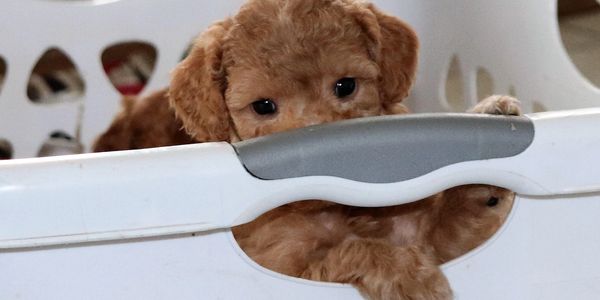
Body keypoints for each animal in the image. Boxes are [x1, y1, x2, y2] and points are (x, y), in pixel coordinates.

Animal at [92, 1, 516, 298]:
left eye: (346, 86)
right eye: (264, 106)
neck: (341, 211)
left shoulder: (431, 235)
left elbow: (452, 226)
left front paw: (490, 123)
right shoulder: (279, 265)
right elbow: (349, 250)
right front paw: (406, 274)